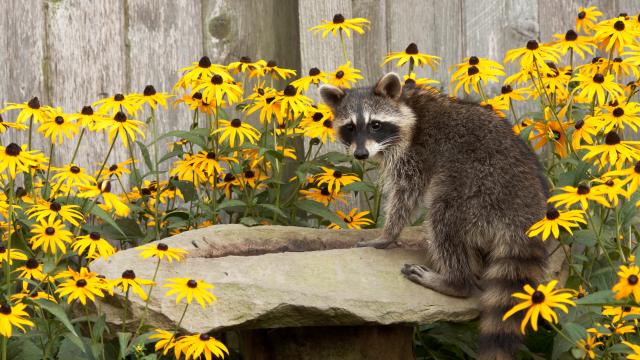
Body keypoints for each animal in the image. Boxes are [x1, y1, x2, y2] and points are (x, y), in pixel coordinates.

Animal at [320, 74, 552, 360]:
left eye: (375, 125)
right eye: (350, 127)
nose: (360, 154)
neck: (406, 105)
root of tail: (525, 212)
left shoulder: (415, 153)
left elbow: (406, 195)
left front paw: (387, 234)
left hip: (479, 189)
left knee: (443, 219)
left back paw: (454, 281)